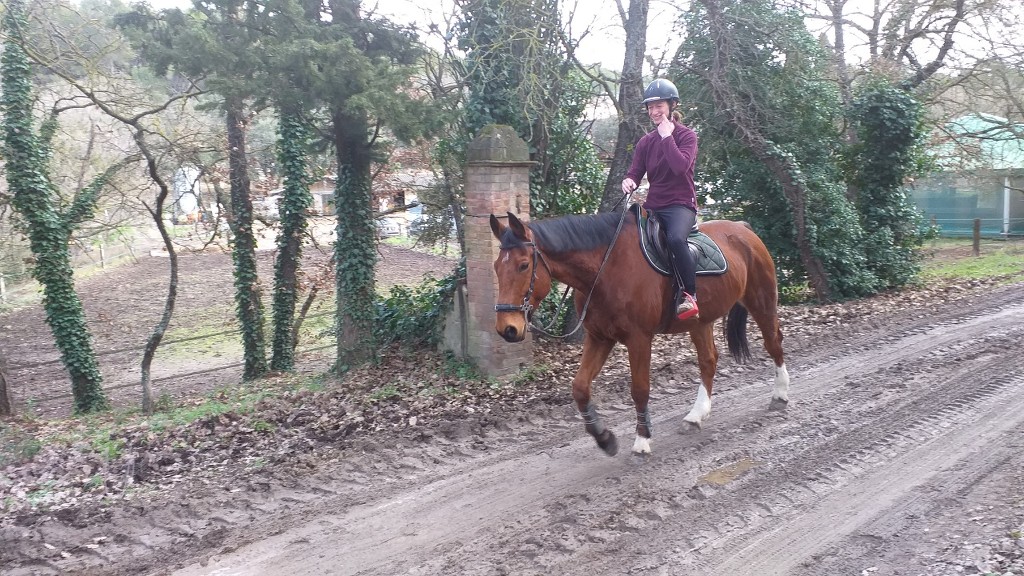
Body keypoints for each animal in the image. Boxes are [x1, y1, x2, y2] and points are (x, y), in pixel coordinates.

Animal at [491, 208, 786, 455]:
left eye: (523, 265)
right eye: (496, 267)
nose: (507, 328)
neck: (604, 269)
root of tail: (743, 229)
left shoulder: (639, 339)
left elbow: (640, 389)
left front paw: (642, 439)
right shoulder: (599, 338)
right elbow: (580, 388)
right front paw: (604, 438)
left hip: (761, 301)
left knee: (773, 343)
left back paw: (780, 395)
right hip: (700, 322)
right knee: (708, 361)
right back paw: (696, 416)